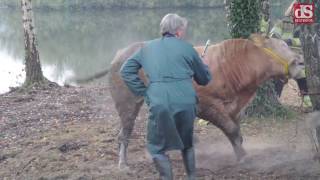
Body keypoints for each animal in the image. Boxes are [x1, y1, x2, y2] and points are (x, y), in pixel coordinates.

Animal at [106, 34, 304, 168]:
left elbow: (237, 132)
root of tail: (120, 53)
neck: (232, 66)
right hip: (127, 102)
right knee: (124, 132)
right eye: (280, 46)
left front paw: (240, 153)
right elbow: (231, 129)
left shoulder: (236, 108)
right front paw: (243, 156)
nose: (300, 61)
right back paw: (123, 162)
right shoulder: (205, 104)